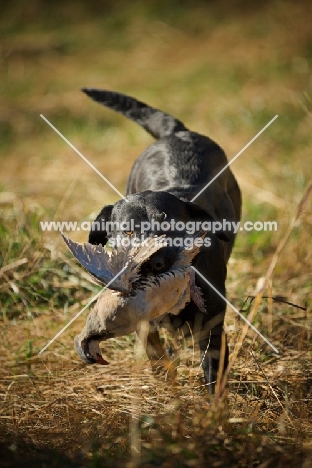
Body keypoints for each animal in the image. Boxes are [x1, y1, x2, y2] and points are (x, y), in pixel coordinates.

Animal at [81, 88, 240, 394]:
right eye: (128, 232)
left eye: (170, 225)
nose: (153, 263)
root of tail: (177, 132)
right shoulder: (143, 323)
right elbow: (156, 352)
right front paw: (167, 383)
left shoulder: (212, 327)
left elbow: (213, 372)